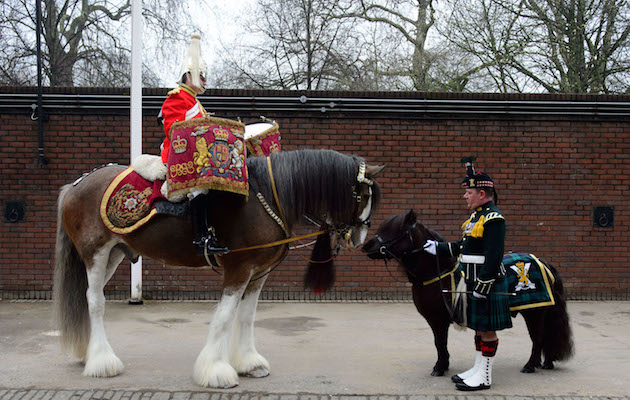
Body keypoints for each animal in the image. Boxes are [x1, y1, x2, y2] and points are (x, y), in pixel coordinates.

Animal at [53, 149, 386, 388]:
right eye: (363, 195)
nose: (360, 238)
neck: (267, 196)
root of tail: (77, 184)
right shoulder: (239, 269)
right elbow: (224, 317)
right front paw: (215, 370)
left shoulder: (259, 273)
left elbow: (246, 316)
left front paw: (250, 363)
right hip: (96, 254)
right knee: (95, 302)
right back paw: (102, 362)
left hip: (114, 255)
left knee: (89, 297)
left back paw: (90, 354)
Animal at [362, 209, 576, 378]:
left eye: (395, 230)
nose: (366, 247)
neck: (438, 273)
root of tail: (543, 262)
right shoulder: (435, 320)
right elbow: (440, 343)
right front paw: (443, 365)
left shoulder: (439, 319)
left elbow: (440, 343)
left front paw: (439, 367)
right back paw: (545, 363)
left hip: (535, 312)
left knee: (538, 337)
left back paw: (530, 365)